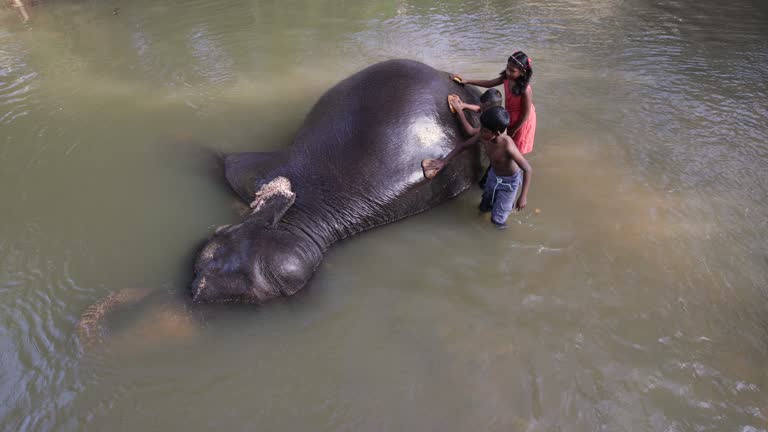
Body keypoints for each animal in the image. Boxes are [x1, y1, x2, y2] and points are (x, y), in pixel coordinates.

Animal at [191, 59, 480, 304]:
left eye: (249, 293)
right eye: (218, 234)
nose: (195, 290)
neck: (303, 212)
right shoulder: (256, 172)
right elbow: (227, 164)